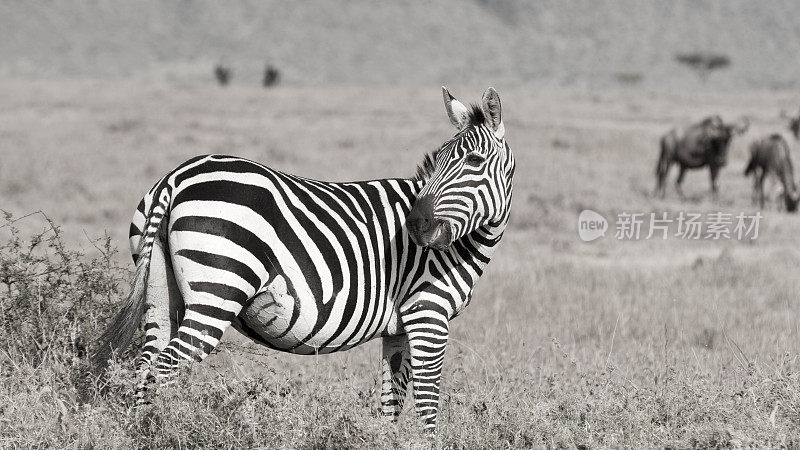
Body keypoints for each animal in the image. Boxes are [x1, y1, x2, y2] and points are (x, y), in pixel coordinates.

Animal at [94, 85, 516, 432]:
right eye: (439, 159)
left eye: (474, 162)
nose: (415, 224)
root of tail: (176, 177)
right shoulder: (428, 315)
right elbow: (428, 404)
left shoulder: (397, 330)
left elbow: (391, 403)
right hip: (217, 290)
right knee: (162, 369)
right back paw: (160, 430)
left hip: (160, 290)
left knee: (145, 367)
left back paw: (140, 431)